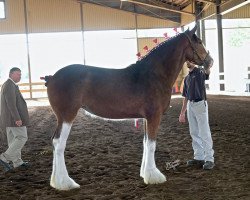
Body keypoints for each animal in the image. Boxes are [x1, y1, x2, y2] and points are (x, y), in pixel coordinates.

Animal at [44, 25, 213, 191]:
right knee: (59, 143)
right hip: (67, 116)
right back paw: (65, 182)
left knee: (54, 142)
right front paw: (154, 176)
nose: (210, 61)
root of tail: (52, 78)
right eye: (198, 42)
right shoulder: (154, 116)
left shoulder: (146, 118)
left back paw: (56, 181)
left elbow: (146, 143)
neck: (155, 75)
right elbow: (152, 145)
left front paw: (145, 173)